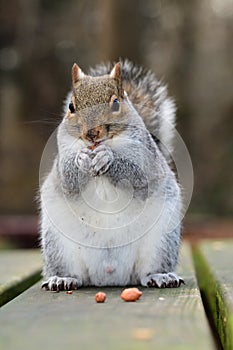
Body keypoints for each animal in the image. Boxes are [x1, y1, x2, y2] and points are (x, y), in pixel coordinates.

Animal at [40, 59, 183, 290]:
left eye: (116, 104)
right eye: (71, 107)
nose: (91, 134)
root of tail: (109, 276)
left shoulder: (145, 156)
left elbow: (137, 175)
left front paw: (108, 158)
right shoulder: (63, 153)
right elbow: (67, 180)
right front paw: (81, 160)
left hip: (162, 239)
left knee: (147, 271)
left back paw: (161, 276)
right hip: (58, 244)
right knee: (72, 272)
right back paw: (63, 278)